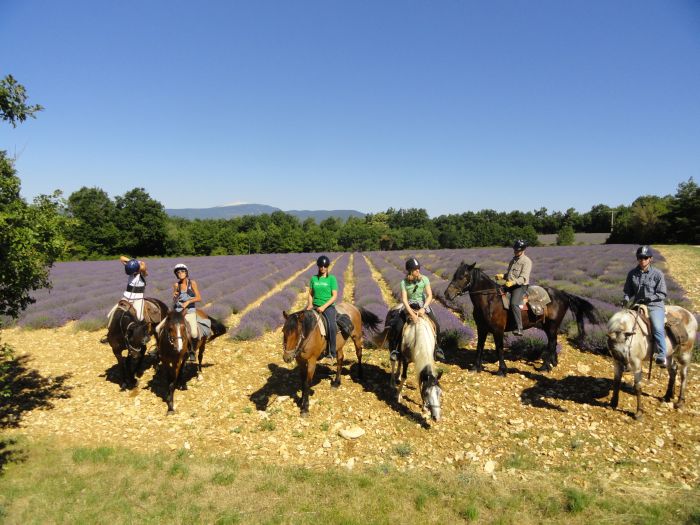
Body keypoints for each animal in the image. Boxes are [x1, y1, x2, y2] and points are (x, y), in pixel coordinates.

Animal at [442, 260, 600, 372]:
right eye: (454, 275)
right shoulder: (482, 329)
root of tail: (562, 293)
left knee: (552, 343)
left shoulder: (498, 330)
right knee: (553, 343)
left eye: (463, 277)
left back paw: (544, 367)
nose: (447, 294)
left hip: (552, 326)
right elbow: (479, 346)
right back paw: (552, 363)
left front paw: (502, 370)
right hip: (547, 326)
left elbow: (499, 348)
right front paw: (476, 367)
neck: (489, 300)